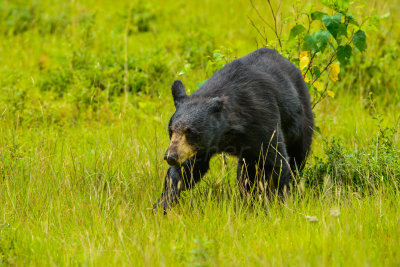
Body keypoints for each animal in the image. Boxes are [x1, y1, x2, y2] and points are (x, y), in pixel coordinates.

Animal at [155, 47, 314, 213]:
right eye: (171, 130)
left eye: (190, 131)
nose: (171, 156)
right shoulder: (202, 145)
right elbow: (186, 169)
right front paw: (162, 204)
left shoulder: (262, 119)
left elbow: (274, 161)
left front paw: (276, 202)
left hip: (301, 121)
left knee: (298, 155)